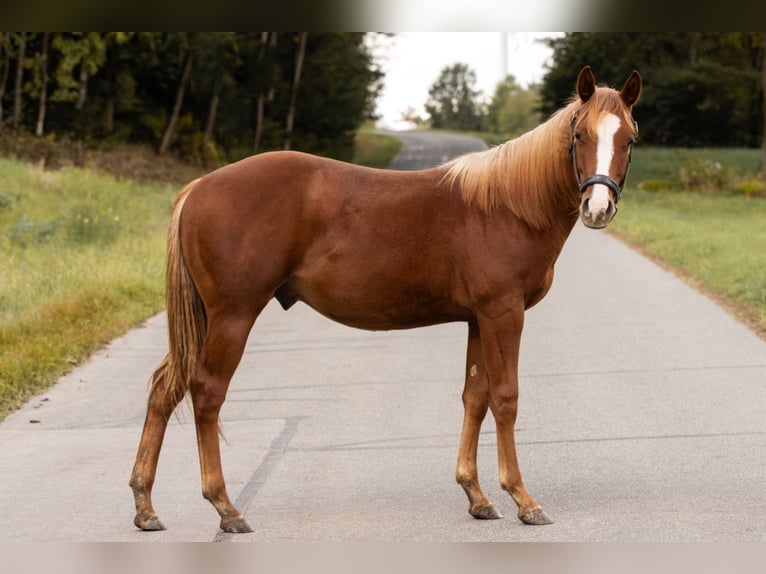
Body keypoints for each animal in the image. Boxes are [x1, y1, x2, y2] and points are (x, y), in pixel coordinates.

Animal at [129, 67, 640, 536]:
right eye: (579, 134)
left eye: (630, 139)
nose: (598, 208)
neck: (506, 206)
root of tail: (198, 188)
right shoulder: (503, 313)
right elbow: (506, 398)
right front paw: (523, 499)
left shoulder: (478, 319)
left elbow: (475, 397)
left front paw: (476, 496)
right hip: (232, 316)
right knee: (206, 392)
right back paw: (226, 508)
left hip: (204, 319)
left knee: (164, 388)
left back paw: (145, 505)